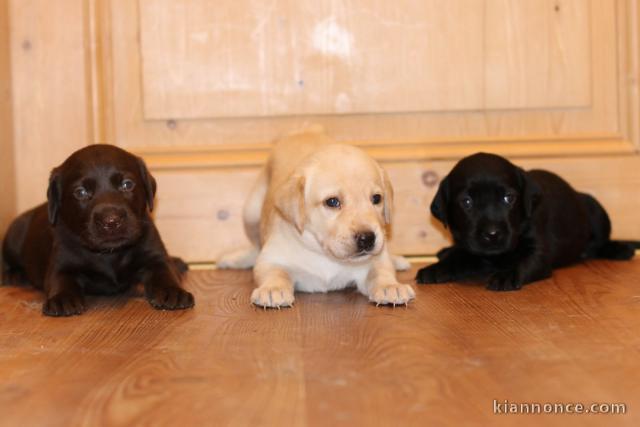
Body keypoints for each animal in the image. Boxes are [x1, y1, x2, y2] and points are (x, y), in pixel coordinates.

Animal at [1, 145, 195, 316]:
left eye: (127, 184)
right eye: (80, 192)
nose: (111, 221)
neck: (110, 254)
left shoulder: (154, 254)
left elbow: (165, 272)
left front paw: (172, 290)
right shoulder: (61, 263)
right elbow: (60, 280)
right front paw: (62, 298)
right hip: (14, 236)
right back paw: (13, 276)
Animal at [218, 127, 412, 308]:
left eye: (377, 199)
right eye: (332, 202)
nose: (367, 238)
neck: (323, 254)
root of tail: (305, 130)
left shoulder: (373, 261)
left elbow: (381, 270)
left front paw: (390, 286)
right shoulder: (272, 258)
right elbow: (275, 272)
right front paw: (273, 289)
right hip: (250, 212)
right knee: (256, 247)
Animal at [416, 153, 636, 290]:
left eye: (509, 198)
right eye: (467, 202)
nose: (492, 234)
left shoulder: (538, 252)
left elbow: (524, 262)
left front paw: (506, 275)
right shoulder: (468, 248)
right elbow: (456, 257)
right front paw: (435, 268)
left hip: (596, 210)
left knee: (601, 242)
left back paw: (620, 249)